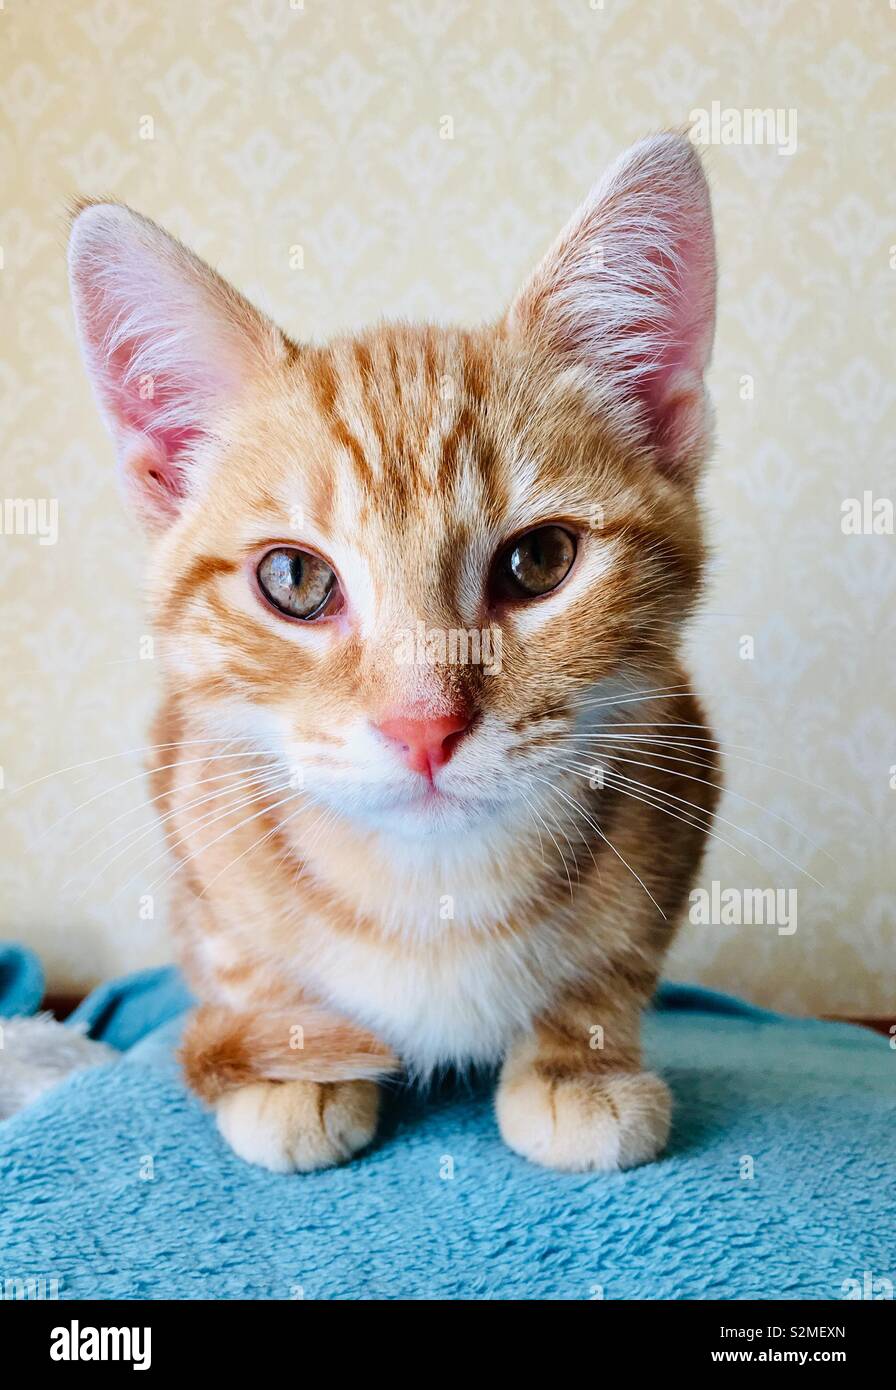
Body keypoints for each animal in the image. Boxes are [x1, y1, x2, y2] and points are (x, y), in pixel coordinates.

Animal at [66, 132, 716, 1173]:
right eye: (295, 578)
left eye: (540, 560)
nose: (424, 726)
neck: (434, 888)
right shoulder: (194, 809)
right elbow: (241, 960)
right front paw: (296, 1059)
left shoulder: (680, 772)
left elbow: (613, 968)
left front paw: (579, 1064)